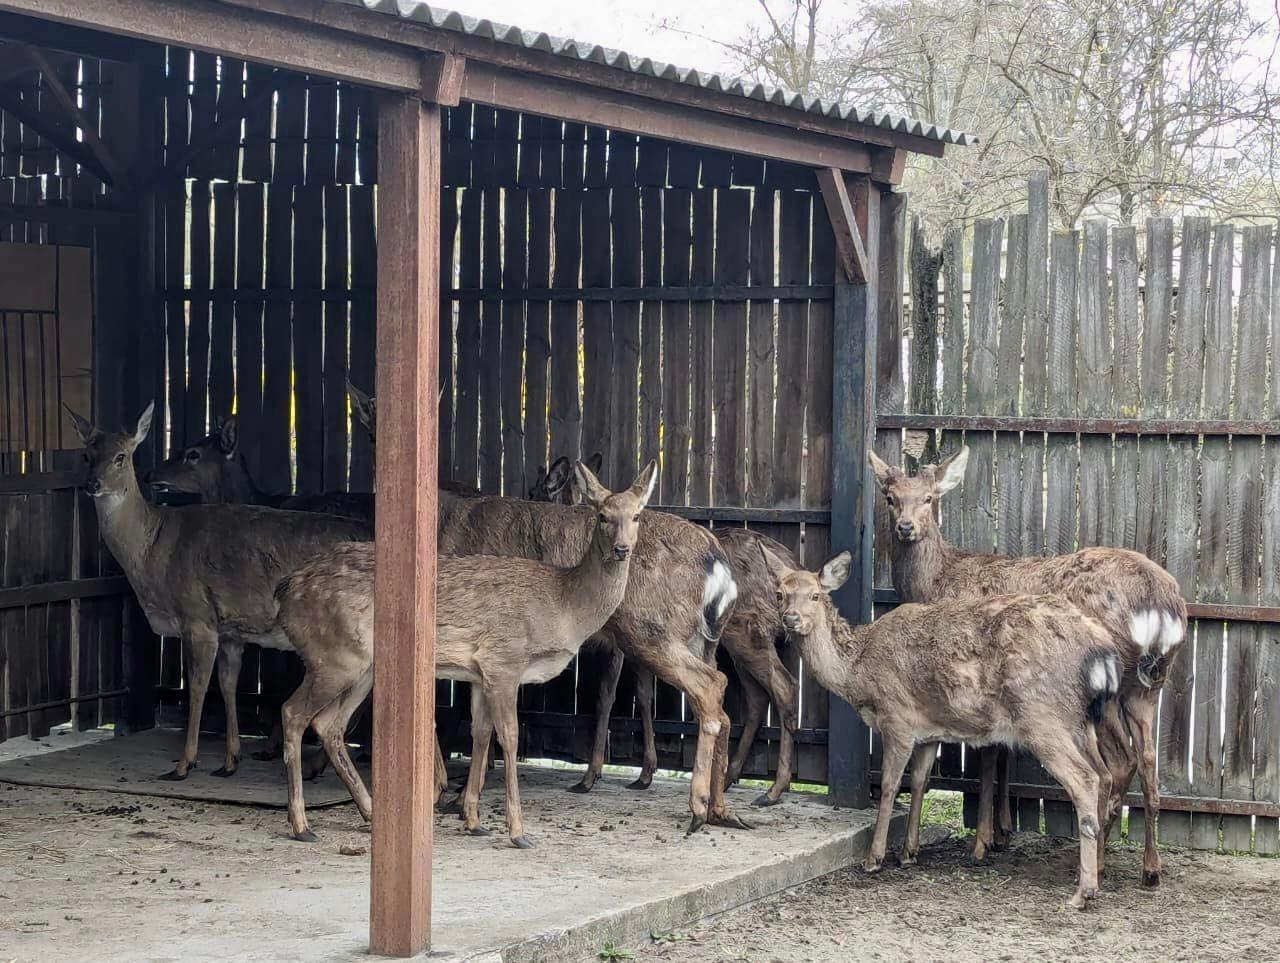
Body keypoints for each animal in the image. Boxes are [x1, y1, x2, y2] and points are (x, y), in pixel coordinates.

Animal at [66, 402, 371, 778]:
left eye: (121, 456)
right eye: (86, 454)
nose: (92, 484)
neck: (152, 553)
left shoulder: (197, 616)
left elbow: (198, 686)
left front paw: (184, 763)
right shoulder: (231, 631)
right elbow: (228, 685)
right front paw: (230, 760)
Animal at [280, 458, 660, 840]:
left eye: (637, 515)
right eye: (602, 515)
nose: (622, 549)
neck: (564, 607)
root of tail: (287, 593)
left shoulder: (480, 674)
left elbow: (481, 734)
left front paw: (474, 820)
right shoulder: (504, 660)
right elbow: (509, 737)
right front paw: (516, 830)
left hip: (362, 667)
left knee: (328, 724)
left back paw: (368, 812)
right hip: (333, 657)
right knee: (293, 713)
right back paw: (301, 824)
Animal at [757, 545, 1121, 911]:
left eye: (816, 595)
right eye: (780, 594)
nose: (791, 619)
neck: (858, 674)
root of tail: (1099, 649)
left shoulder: (897, 719)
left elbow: (890, 785)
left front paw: (875, 857)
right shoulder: (931, 729)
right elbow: (920, 782)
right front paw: (909, 852)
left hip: (1042, 714)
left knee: (1084, 778)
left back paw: (1082, 892)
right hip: (1080, 720)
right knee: (1105, 775)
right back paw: (1098, 872)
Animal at [870, 445, 1187, 886]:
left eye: (929, 498)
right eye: (890, 496)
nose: (905, 527)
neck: (937, 581)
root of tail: (1162, 601)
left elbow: (988, 757)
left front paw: (982, 843)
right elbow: (1003, 752)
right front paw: (1002, 831)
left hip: (1107, 683)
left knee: (1118, 765)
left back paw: (1097, 861)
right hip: (1148, 686)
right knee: (1149, 763)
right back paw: (1149, 869)